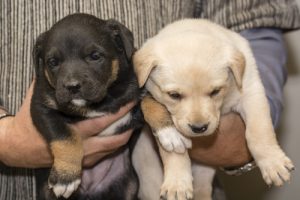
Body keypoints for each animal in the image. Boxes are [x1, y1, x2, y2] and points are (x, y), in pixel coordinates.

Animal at [30, 13, 143, 199]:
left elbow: (154, 104)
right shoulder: (42, 107)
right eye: (53, 62)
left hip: (129, 186)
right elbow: (64, 137)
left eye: (95, 56)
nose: (72, 86)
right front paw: (65, 177)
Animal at [135, 19, 294, 200]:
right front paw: (177, 183)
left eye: (216, 91)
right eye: (174, 95)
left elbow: (259, 131)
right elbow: (172, 149)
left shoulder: (251, 93)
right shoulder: (149, 94)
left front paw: (273, 163)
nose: (199, 128)